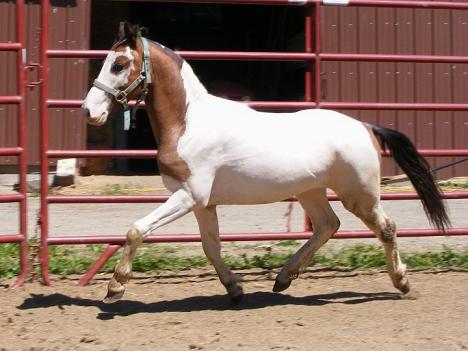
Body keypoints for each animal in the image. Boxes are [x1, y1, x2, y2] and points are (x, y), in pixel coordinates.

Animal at [81, 22, 450, 304]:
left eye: (118, 64)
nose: (89, 111)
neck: (189, 124)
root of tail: (366, 126)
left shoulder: (188, 196)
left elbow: (136, 230)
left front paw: (115, 287)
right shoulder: (203, 203)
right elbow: (211, 247)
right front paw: (235, 289)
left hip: (359, 194)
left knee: (385, 228)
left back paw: (402, 283)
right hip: (311, 192)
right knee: (327, 225)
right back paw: (284, 278)